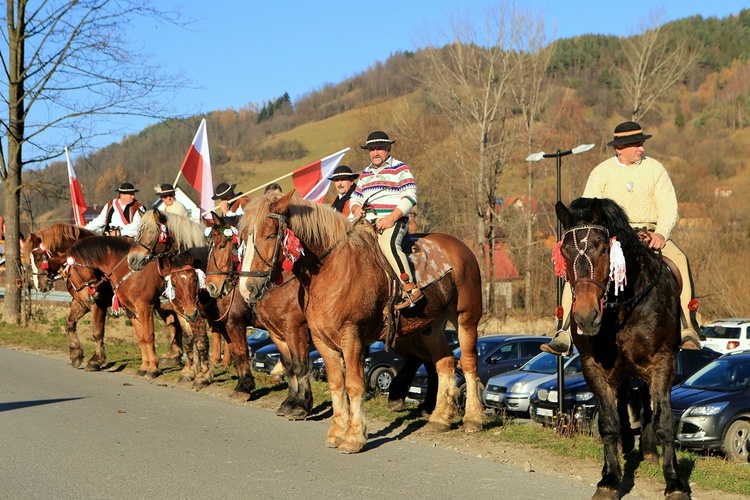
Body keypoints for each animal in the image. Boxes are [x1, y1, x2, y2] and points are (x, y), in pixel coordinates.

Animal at [242, 191, 488, 454]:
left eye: (270, 235)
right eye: (243, 237)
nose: (247, 288)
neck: (332, 269)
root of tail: (459, 247)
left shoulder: (349, 336)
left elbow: (353, 384)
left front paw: (353, 436)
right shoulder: (321, 340)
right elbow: (336, 384)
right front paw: (336, 431)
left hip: (465, 318)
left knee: (469, 363)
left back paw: (473, 418)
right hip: (429, 329)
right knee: (445, 362)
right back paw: (440, 417)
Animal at [556, 197, 692, 498]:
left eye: (605, 248)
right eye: (565, 252)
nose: (586, 317)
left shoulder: (663, 362)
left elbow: (664, 421)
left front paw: (674, 482)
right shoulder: (594, 367)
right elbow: (608, 423)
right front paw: (609, 479)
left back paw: (649, 450)